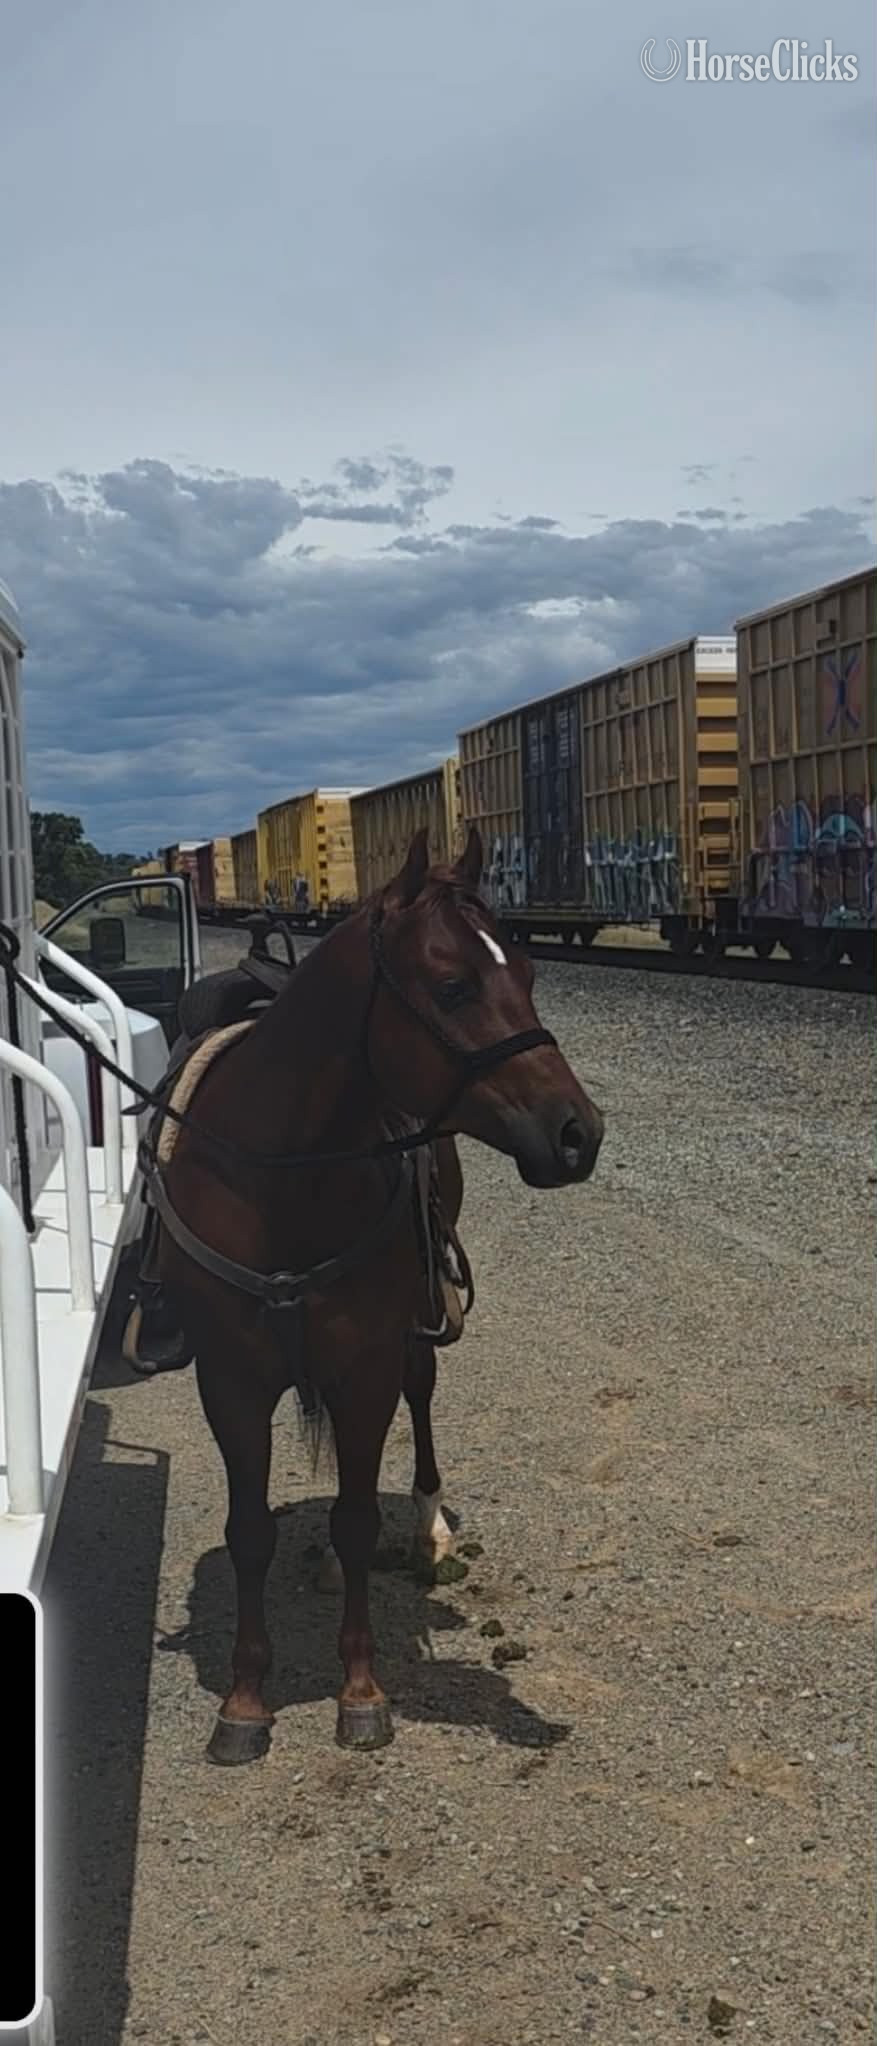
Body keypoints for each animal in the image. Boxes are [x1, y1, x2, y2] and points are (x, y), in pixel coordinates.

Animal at [146, 825, 605, 1764]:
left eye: (528, 973)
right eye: (452, 984)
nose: (578, 1134)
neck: (280, 1173)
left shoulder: (364, 1367)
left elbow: (359, 1521)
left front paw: (360, 1691)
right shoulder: (229, 1381)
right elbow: (249, 1533)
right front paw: (243, 1701)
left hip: (412, 1325)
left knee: (420, 1398)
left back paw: (426, 1524)